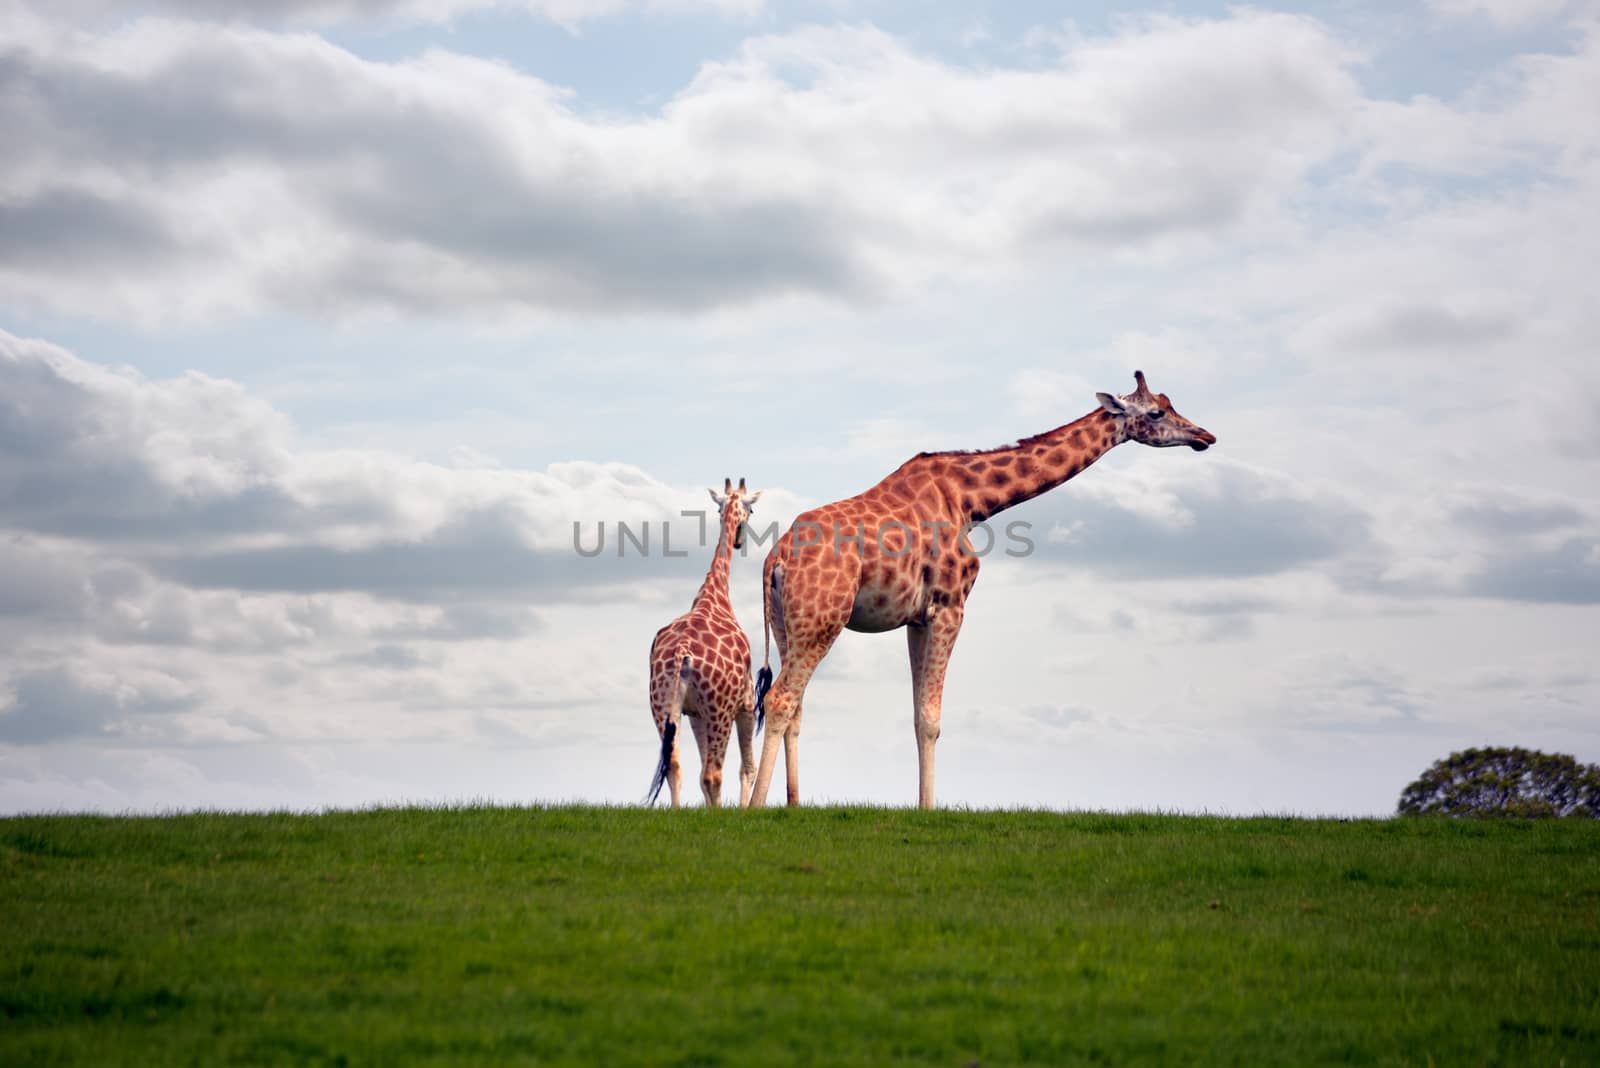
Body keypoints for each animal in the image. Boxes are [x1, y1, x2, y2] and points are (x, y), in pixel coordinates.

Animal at [643, 479, 768, 805]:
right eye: (752, 509)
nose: (738, 542)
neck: (715, 595)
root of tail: (682, 653)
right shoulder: (745, 702)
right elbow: (747, 767)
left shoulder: (694, 713)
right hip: (719, 710)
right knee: (714, 772)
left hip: (662, 704)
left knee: (674, 765)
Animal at [745, 370, 1209, 805]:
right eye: (1156, 413)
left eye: (1170, 405)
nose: (1205, 436)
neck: (971, 501)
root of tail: (776, 560)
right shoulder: (951, 605)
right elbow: (931, 719)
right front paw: (928, 809)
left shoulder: (917, 618)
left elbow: (917, 715)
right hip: (824, 618)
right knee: (781, 699)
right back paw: (755, 805)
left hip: (787, 623)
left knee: (795, 705)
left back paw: (793, 803)